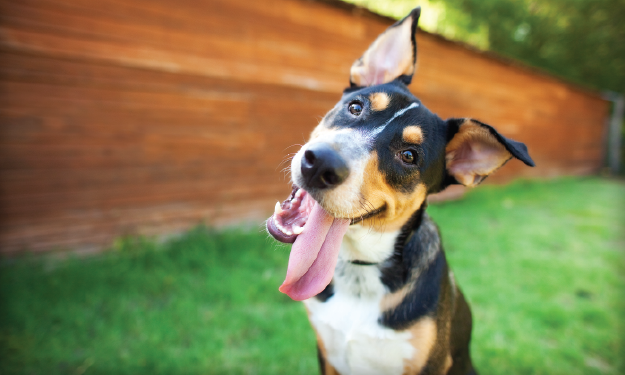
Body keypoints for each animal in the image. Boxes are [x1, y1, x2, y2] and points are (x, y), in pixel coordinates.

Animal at [264, 6, 532, 375]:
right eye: (356, 107)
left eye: (409, 156)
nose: (319, 165)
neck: (361, 271)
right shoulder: (326, 352)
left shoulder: (429, 364)